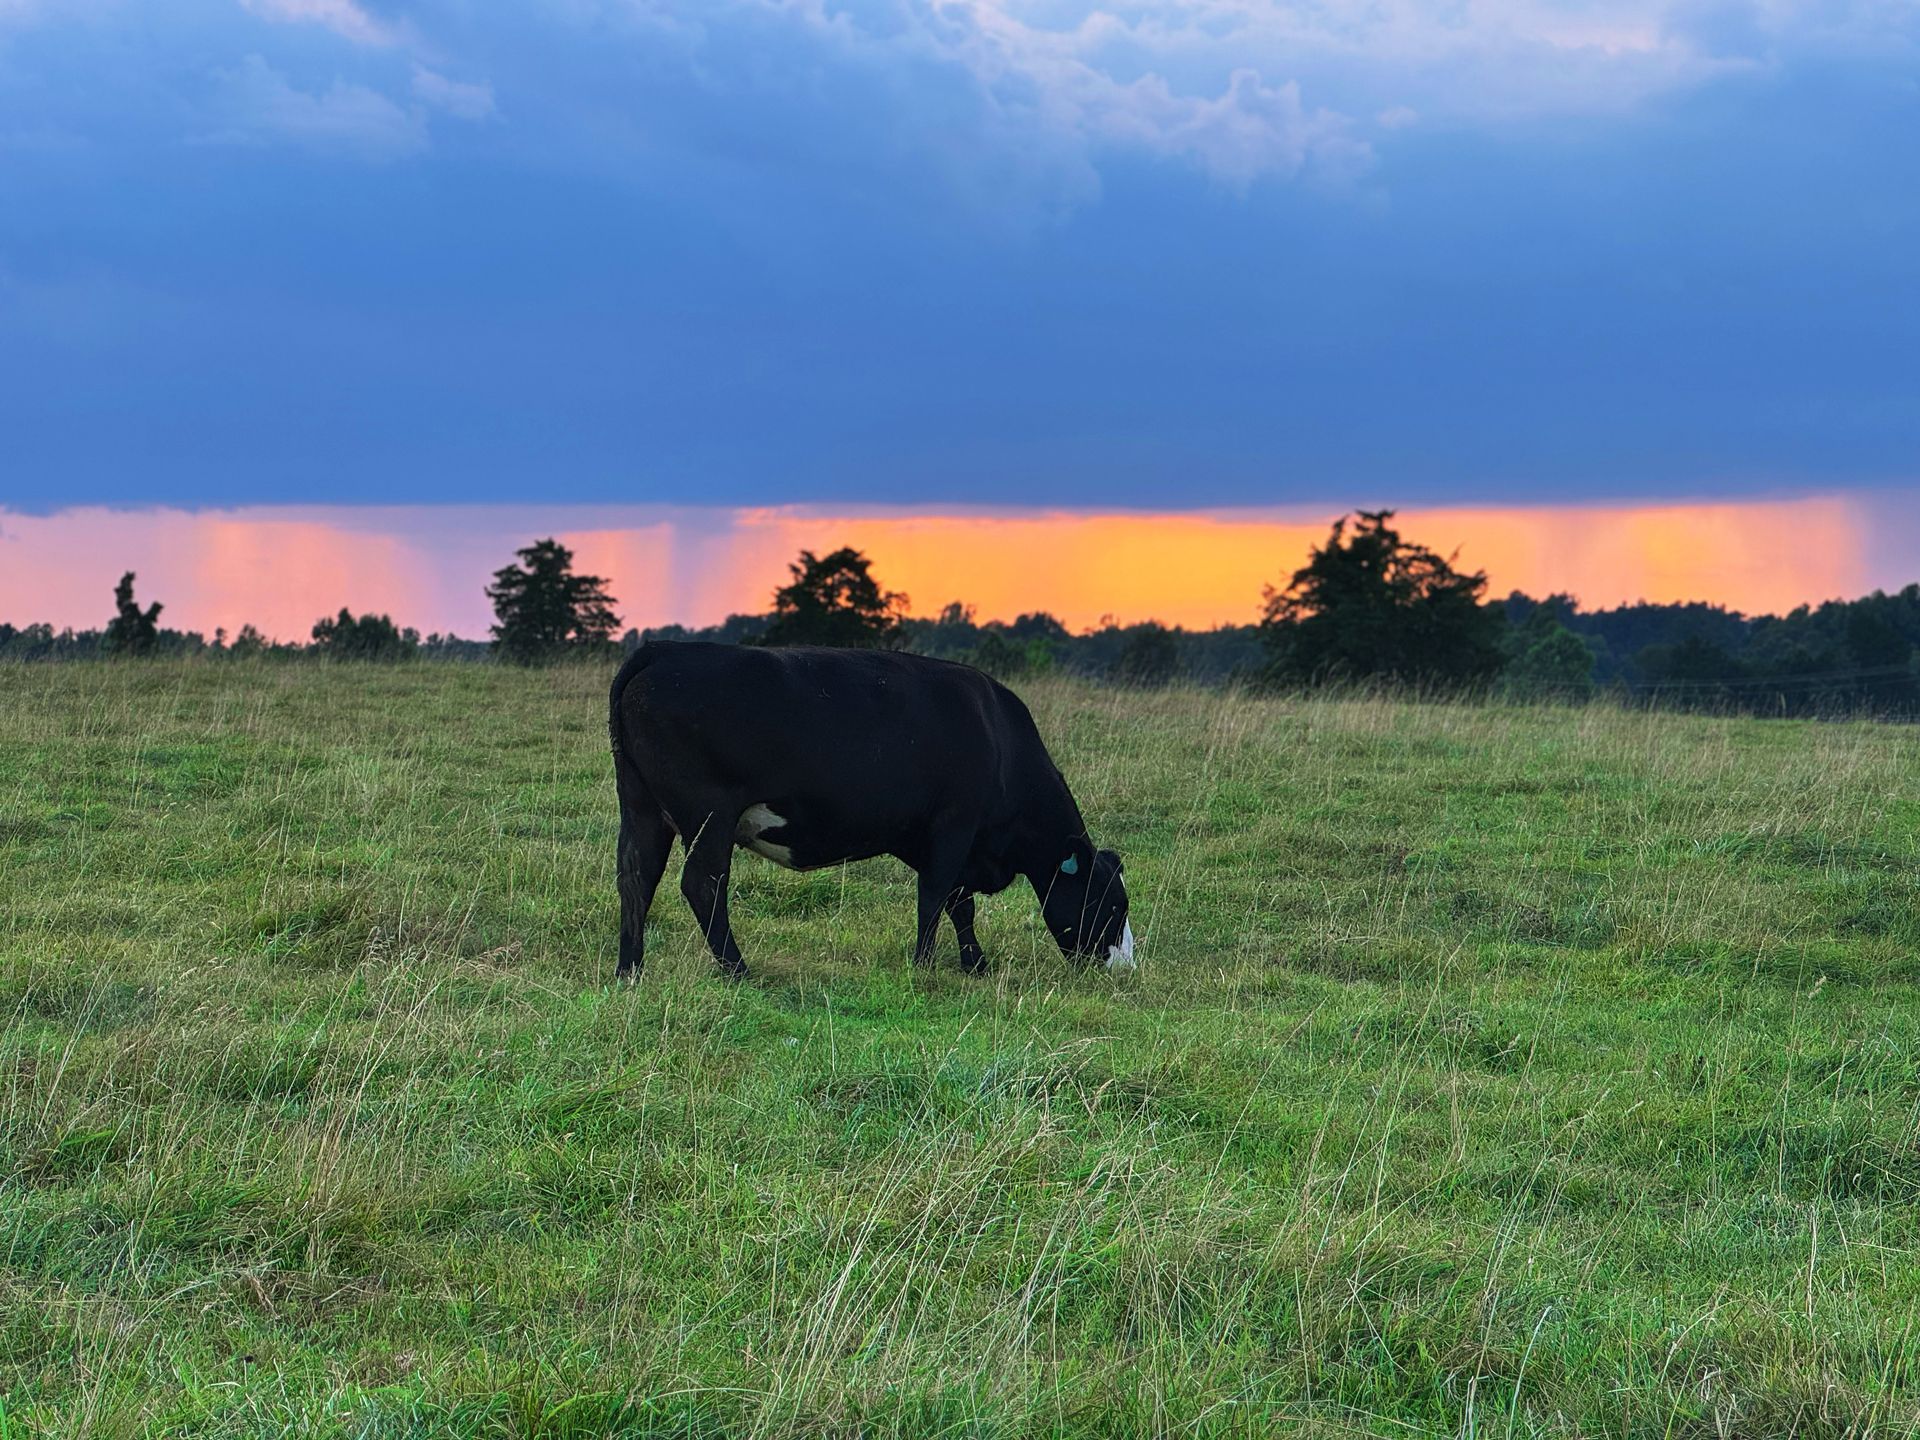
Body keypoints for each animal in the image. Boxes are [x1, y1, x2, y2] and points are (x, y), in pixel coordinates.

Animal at [607, 641, 1134, 981]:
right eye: (1113, 903)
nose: (1124, 966)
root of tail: (666, 649)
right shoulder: (954, 826)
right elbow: (939, 897)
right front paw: (926, 964)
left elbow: (958, 902)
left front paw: (975, 964)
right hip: (709, 815)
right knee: (703, 884)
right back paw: (736, 968)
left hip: (642, 808)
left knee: (636, 876)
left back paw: (630, 968)